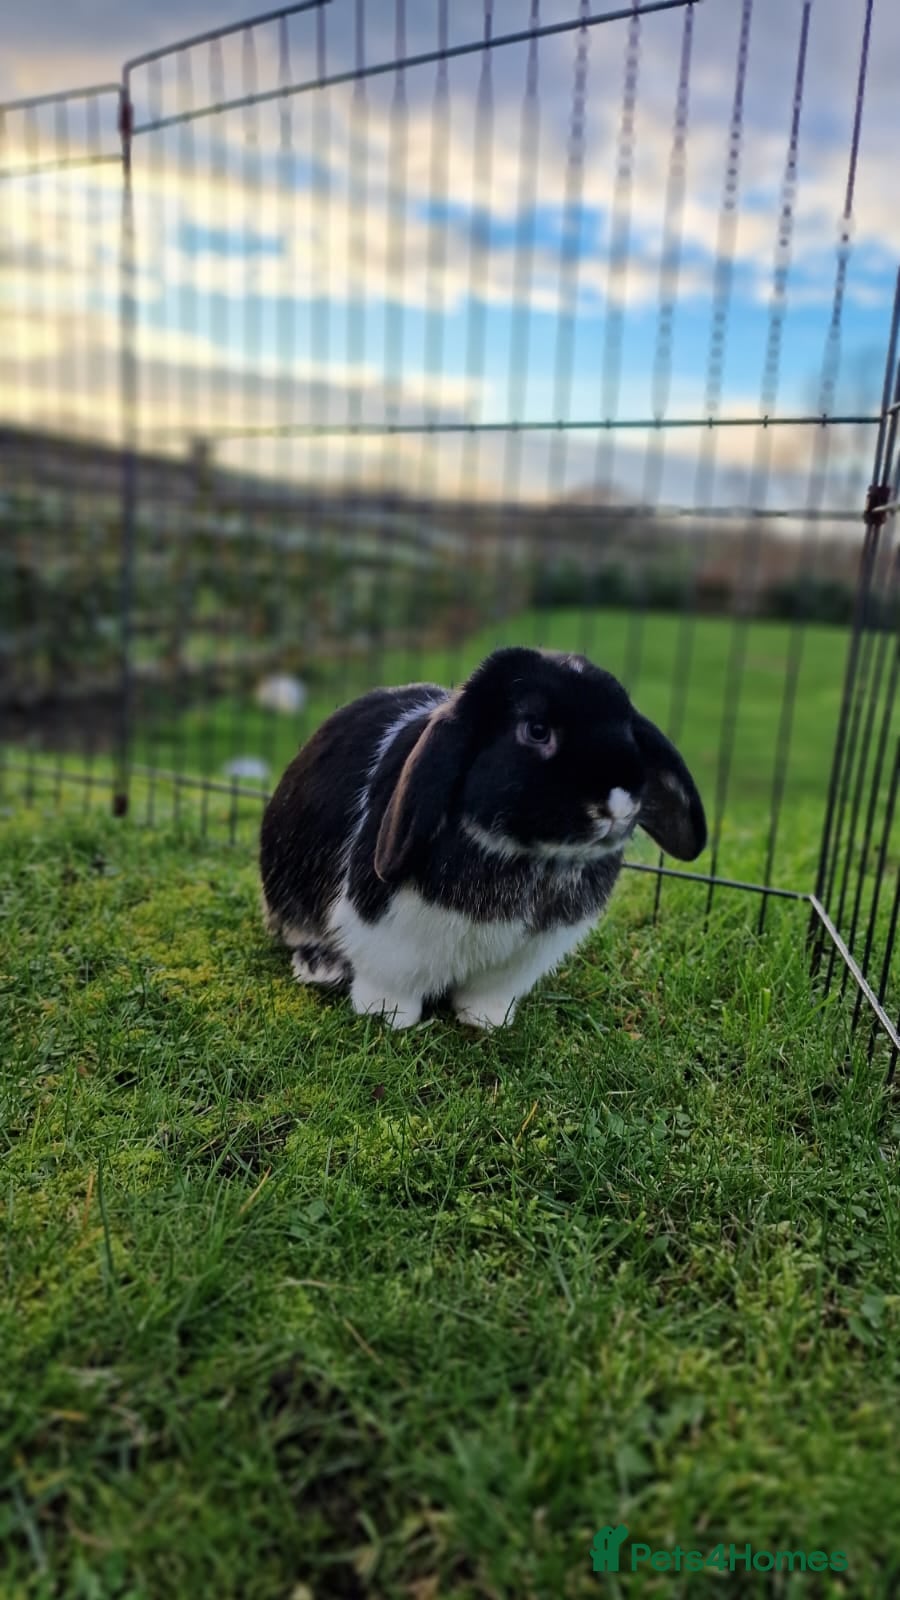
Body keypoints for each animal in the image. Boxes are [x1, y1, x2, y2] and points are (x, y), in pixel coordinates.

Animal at [259, 646, 707, 1030]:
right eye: (537, 730)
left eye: (627, 730)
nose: (619, 804)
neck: (533, 858)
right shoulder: (388, 942)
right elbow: (390, 985)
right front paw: (389, 1017)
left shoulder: (522, 959)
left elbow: (487, 995)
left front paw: (488, 1021)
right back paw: (320, 966)